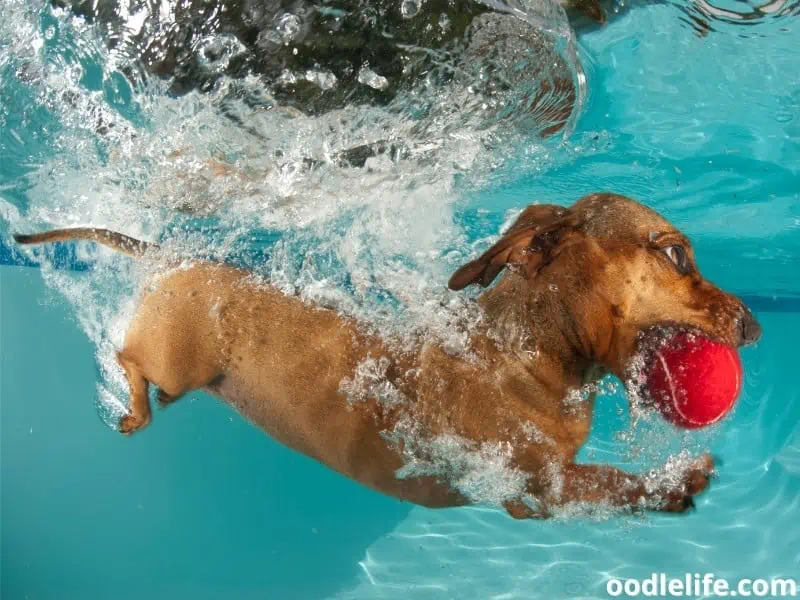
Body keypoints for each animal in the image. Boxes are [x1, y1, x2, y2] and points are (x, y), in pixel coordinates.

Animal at [14, 193, 764, 520]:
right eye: (677, 256)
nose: (757, 324)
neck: (516, 358)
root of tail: (171, 256)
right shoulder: (530, 488)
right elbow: (607, 484)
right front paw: (673, 483)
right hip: (172, 355)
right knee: (129, 356)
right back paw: (134, 407)